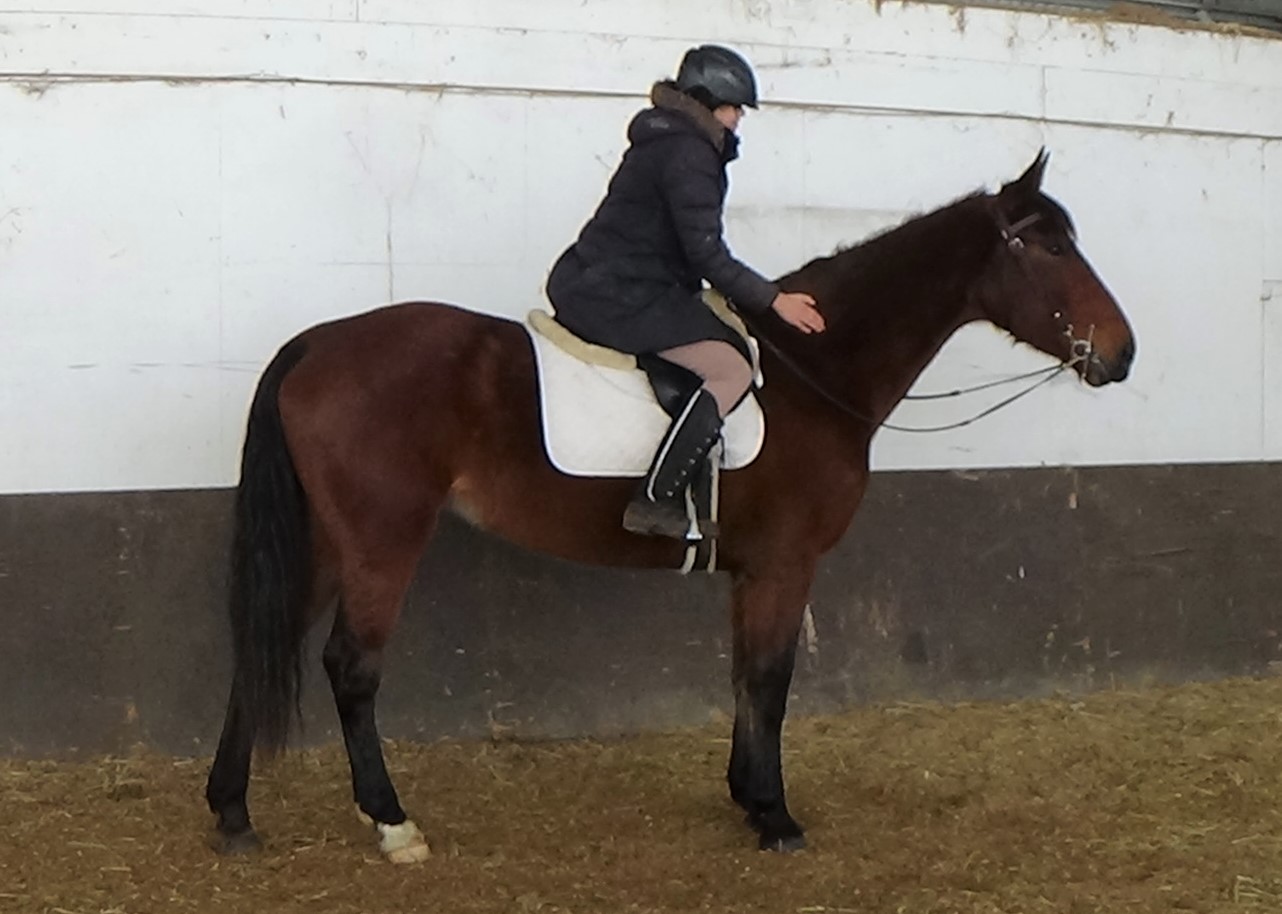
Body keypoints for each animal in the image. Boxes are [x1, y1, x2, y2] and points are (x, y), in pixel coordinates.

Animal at [205, 150, 1136, 861]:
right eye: (1049, 247)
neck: (815, 371)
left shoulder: (753, 571)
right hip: (382, 543)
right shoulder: (786, 565)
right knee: (351, 669)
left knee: (260, 645)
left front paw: (745, 797)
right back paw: (393, 825)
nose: (1122, 355)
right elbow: (770, 680)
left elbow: (743, 675)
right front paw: (776, 817)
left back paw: (233, 813)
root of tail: (317, 344)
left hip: (329, 543)